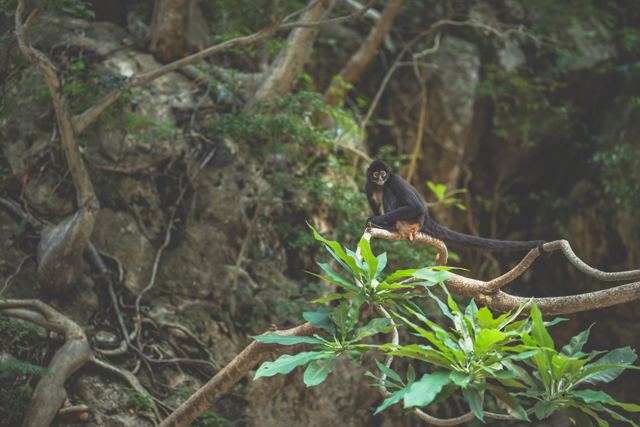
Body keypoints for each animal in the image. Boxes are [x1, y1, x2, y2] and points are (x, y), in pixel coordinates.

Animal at [365, 159, 546, 252]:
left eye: (383, 174)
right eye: (376, 174)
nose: (380, 179)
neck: (379, 185)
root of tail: (425, 219)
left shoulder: (394, 180)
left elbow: (415, 206)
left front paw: (376, 220)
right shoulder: (369, 186)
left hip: (411, 220)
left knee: (391, 193)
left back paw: (390, 227)